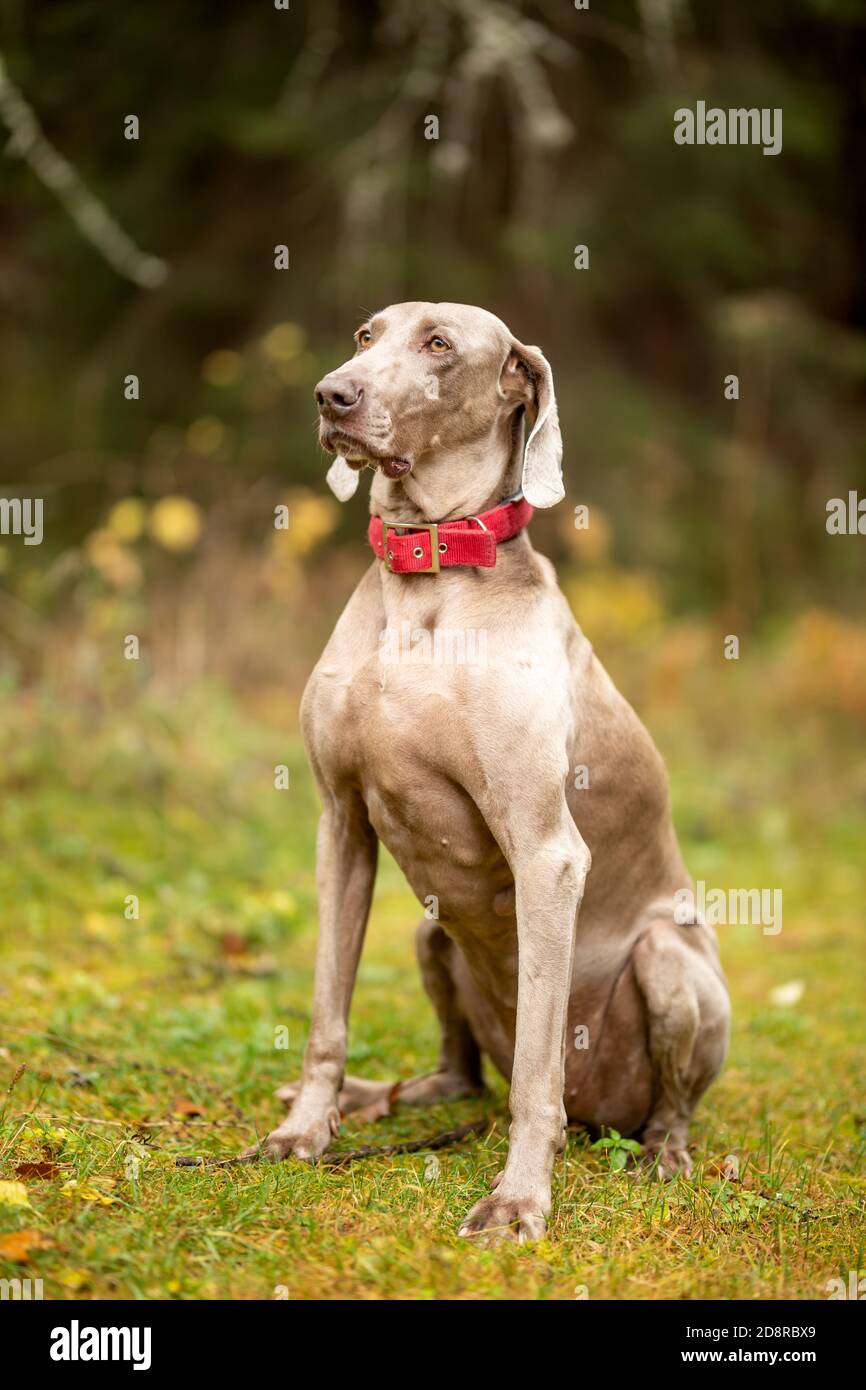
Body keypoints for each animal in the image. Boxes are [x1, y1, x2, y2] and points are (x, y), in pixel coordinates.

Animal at [250, 298, 733, 1245]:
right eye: (366, 336)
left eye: (440, 344)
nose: (332, 395)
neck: (427, 578)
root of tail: (607, 1116)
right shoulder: (340, 824)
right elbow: (327, 1013)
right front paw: (305, 1129)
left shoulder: (548, 854)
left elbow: (539, 1080)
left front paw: (518, 1201)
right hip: (429, 930)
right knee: (464, 1073)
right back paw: (380, 1096)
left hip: (670, 962)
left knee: (655, 1103)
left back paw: (664, 1154)